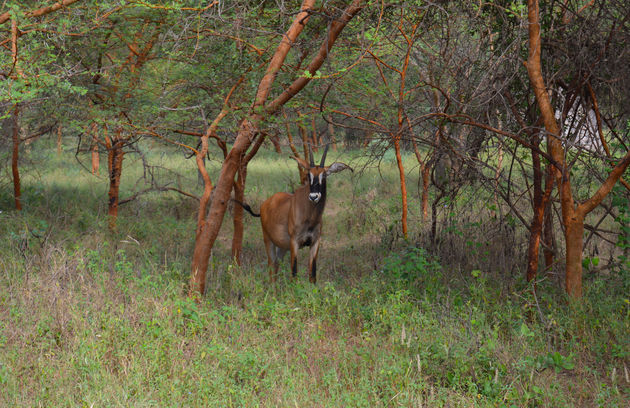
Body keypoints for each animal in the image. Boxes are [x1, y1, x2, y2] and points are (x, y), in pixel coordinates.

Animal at [237, 147, 354, 284]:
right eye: (309, 175)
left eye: (324, 175)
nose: (313, 196)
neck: (310, 217)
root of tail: (264, 204)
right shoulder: (295, 243)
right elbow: (294, 274)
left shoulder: (315, 242)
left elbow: (312, 275)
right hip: (268, 241)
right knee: (271, 267)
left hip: (282, 247)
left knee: (276, 266)